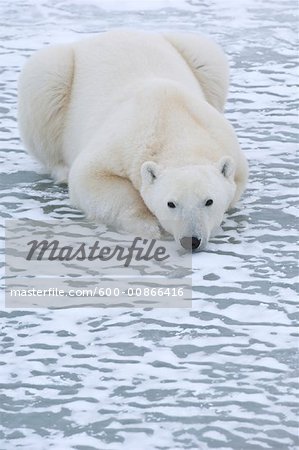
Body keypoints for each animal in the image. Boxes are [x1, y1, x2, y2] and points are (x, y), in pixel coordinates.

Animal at [17, 29, 250, 251]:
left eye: (209, 201)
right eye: (171, 203)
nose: (191, 240)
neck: (175, 123)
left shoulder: (228, 147)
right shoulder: (122, 142)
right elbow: (89, 178)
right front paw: (148, 226)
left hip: (195, 55)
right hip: (58, 74)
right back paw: (61, 169)